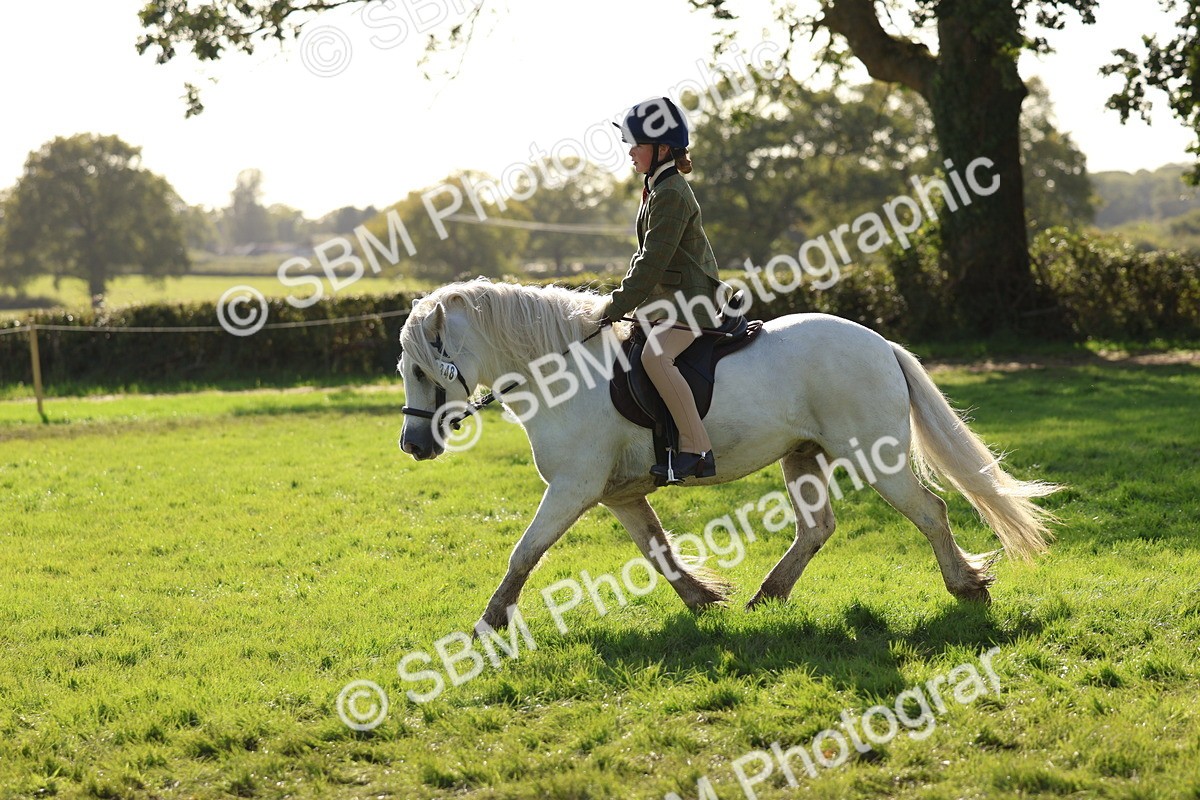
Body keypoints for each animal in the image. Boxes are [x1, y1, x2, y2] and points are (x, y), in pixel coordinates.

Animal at [397, 278, 1059, 633]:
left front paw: (487, 625)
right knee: (818, 527)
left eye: (422, 369)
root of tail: (878, 342)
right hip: (803, 456)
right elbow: (657, 551)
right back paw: (767, 595)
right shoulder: (618, 494)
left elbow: (524, 552)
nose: (413, 445)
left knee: (929, 512)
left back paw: (967, 586)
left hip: (874, 455)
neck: (559, 373)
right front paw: (703, 599)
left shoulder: (572, 489)